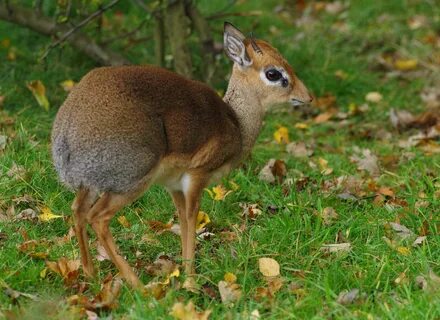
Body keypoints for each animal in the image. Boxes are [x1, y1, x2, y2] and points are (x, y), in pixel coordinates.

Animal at [51, 21, 312, 288]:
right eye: (273, 73)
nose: (307, 96)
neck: (237, 124)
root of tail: (65, 135)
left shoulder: (173, 185)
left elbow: (183, 220)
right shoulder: (197, 176)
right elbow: (192, 217)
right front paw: (190, 281)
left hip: (92, 185)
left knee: (78, 210)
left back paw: (90, 274)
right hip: (132, 182)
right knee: (97, 218)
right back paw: (138, 286)